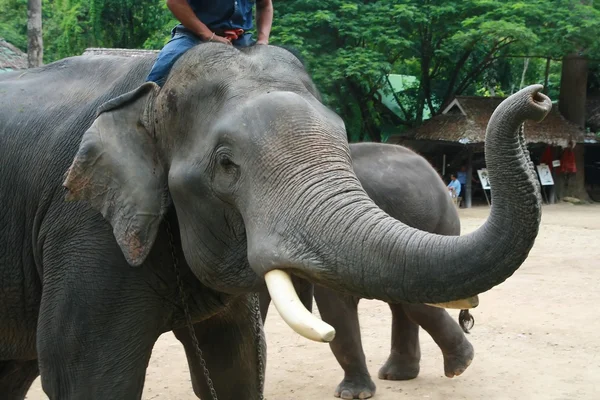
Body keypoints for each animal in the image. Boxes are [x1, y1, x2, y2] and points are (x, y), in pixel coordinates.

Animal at [260, 141, 476, 400]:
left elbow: (334, 304)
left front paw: (352, 395)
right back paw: (400, 374)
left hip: (440, 225)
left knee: (415, 302)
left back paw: (459, 365)